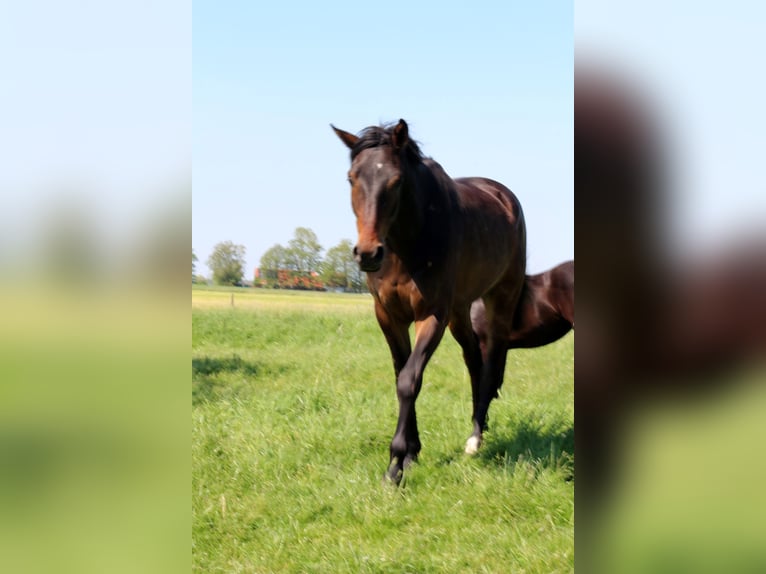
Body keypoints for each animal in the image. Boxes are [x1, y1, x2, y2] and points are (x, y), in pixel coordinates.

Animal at [334, 120, 528, 486]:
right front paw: (411, 452)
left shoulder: (432, 315)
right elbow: (401, 373)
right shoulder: (388, 315)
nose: (368, 253)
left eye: (396, 180)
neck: (408, 244)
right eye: (352, 178)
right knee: (473, 360)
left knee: (490, 363)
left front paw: (395, 465)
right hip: (460, 311)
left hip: (499, 301)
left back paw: (476, 438)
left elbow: (410, 381)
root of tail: (505, 197)